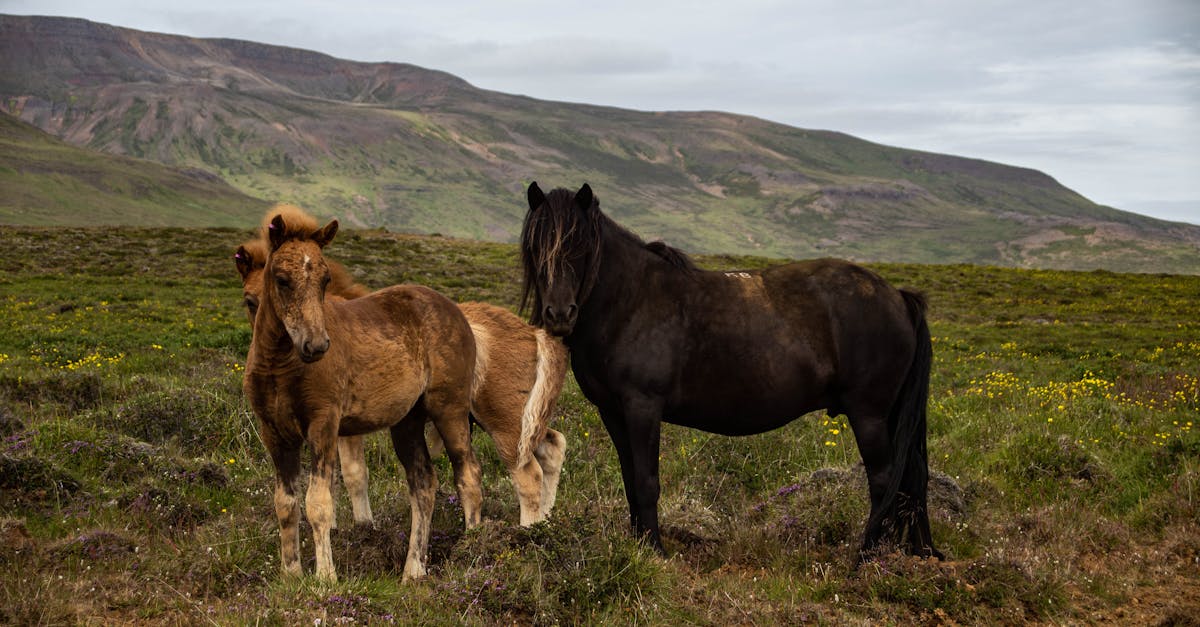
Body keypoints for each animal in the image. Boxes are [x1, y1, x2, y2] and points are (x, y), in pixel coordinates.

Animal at [235, 206, 569, 526]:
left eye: (262, 295)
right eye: (248, 301)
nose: (310, 345)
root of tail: (535, 333)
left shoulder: (337, 424)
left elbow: (352, 474)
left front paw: (359, 526)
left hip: (502, 422)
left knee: (527, 475)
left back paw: (528, 531)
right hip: (521, 421)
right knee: (552, 446)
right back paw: (547, 521)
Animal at [243, 213, 483, 581]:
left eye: (326, 279)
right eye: (282, 280)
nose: (316, 345)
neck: (280, 368)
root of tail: (456, 311)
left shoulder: (323, 425)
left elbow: (318, 503)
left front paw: (325, 579)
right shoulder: (274, 433)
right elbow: (285, 504)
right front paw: (291, 576)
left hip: (449, 410)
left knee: (468, 474)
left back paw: (473, 550)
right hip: (407, 422)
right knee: (424, 483)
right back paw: (413, 570)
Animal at [520, 182, 942, 562]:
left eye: (580, 247)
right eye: (537, 247)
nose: (559, 314)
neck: (630, 301)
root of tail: (898, 296)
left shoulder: (643, 407)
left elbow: (646, 481)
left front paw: (655, 551)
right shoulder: (613, 412)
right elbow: (630, 480)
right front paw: (638, 546)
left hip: (869, 414)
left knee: (884, 480)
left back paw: (867, 556)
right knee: (909, 480)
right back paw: (911, 552)